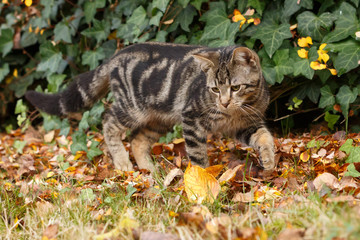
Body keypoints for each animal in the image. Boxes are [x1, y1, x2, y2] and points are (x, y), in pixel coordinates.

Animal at [25, 41, 274, 172]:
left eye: (235, 87)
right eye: (214, 89)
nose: (224, 102)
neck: (237, 111)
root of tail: (116, 55)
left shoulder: (246, 125)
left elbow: (265, 137)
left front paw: (270, 160)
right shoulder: (191, 117)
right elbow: (198, 157)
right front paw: (203, 182)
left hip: (159, 120)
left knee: (137, 141)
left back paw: (150, 171)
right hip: (131, 108)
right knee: (108, 120)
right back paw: (123, 163)